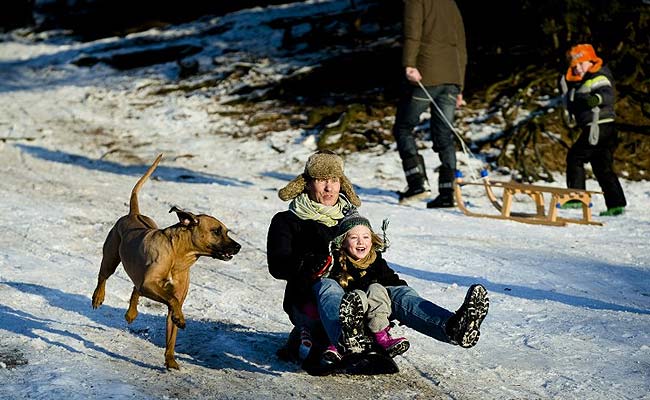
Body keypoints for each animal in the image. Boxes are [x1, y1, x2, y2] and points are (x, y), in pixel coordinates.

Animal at [91, 153, 240, 368]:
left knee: (135, 287)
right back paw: (98, 297)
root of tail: (133, 213)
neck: (178, 256)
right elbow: (172, 300)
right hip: (111, 257)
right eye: (216, 231)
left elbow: (172, 328)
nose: (238, 247)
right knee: (103, 276)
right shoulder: (151, 284)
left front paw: (170, 360)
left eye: (226, 231)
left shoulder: (165, 290)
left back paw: (131, 314)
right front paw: (180, 318)